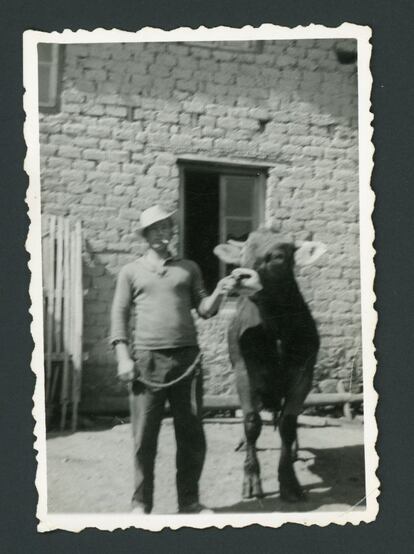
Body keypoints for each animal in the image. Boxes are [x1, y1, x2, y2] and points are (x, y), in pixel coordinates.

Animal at [213, 229, 326, 500]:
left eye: (278, 256)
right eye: (242, 253)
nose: (239, 276)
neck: (276, 330)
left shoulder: (303, 374)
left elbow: (288, 424)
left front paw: (289, 482)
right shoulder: (244, 371)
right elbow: (252, 422)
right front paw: (251, 480)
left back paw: (294, 450)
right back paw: (243, 443)